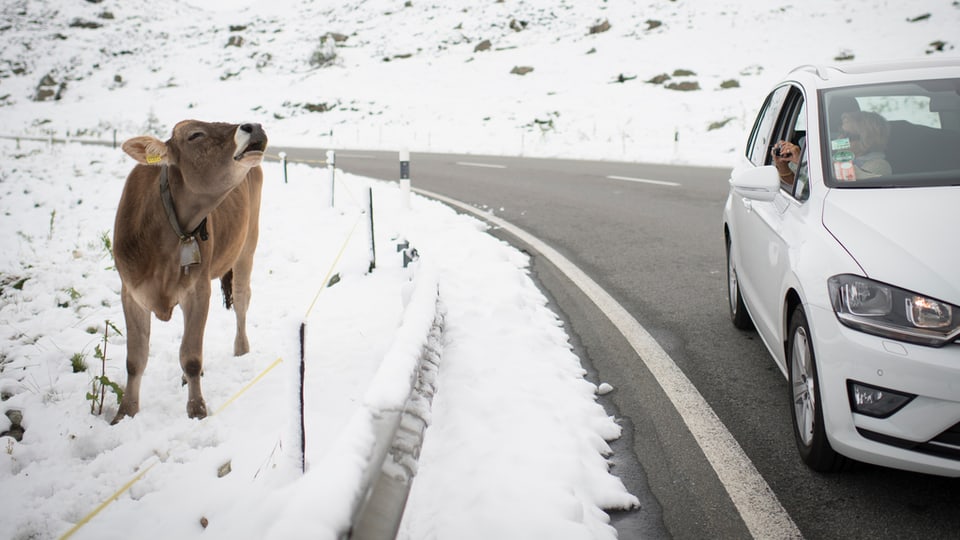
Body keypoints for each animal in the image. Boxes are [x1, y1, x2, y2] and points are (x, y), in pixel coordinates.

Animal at [112, 120, 266, 424]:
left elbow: (191, 356)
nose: (253, 126)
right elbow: (135, 360)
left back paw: (241, 349)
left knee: (242, 299)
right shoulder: (131, 293)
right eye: (195, 135)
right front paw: (125, 413)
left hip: (247, 246)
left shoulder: (198, 290)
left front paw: (197, 410)